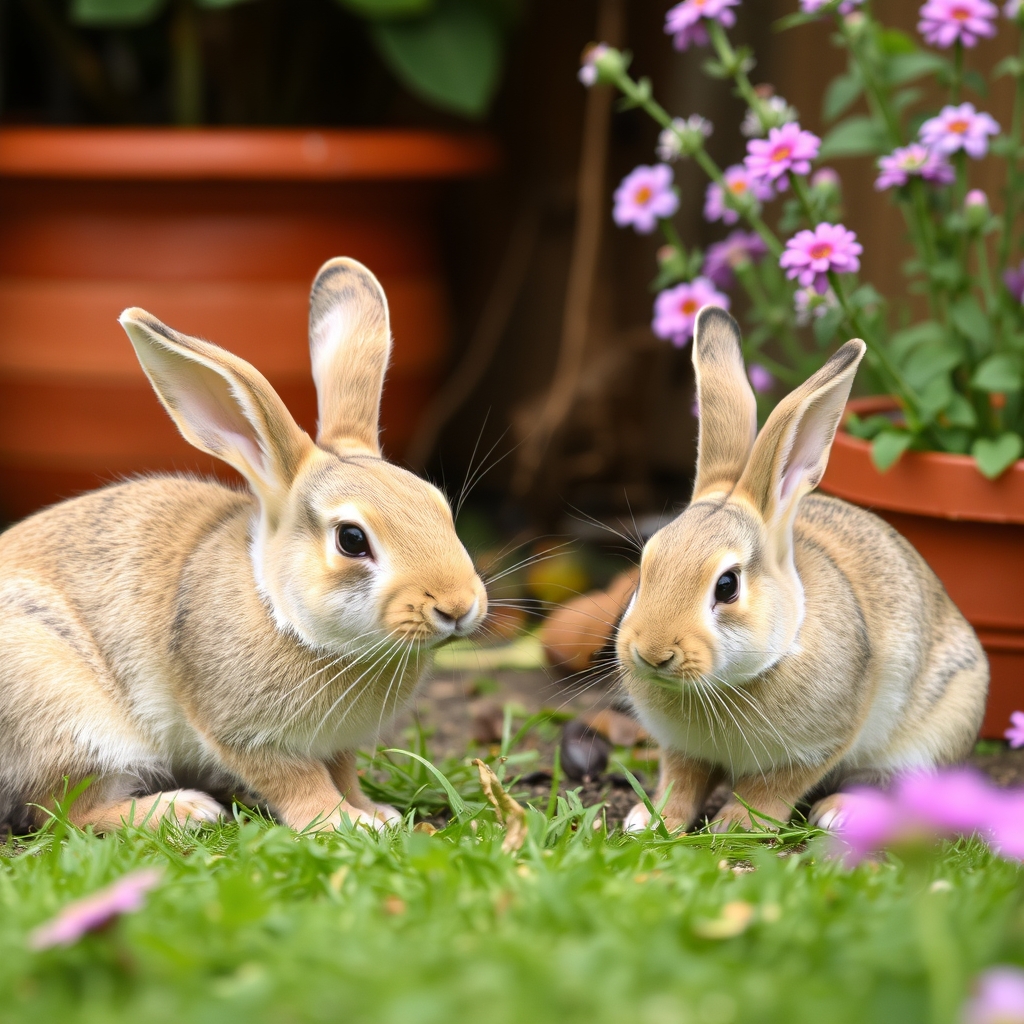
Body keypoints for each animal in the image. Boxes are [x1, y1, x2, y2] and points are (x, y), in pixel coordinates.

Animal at [0, 257, 487, 835]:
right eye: (351, 539)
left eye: (439, 506)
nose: (458, 607)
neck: (281, 610)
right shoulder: (246, 735)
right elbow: (299, 782)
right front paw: (343, 823)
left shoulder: (335, 745)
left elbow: (342, 772)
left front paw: (375, 814)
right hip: (67, 711)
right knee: (64, 811)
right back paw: (185, 809)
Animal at [617, 306, 988, 834]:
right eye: (645, 568)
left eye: (727, 586)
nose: (652, 654)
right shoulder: (682, 751)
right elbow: (682, 781)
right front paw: (651, 821)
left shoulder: (821, 744)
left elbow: (774, 788)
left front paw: (738, 824)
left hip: (937, 727)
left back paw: (840, 813)